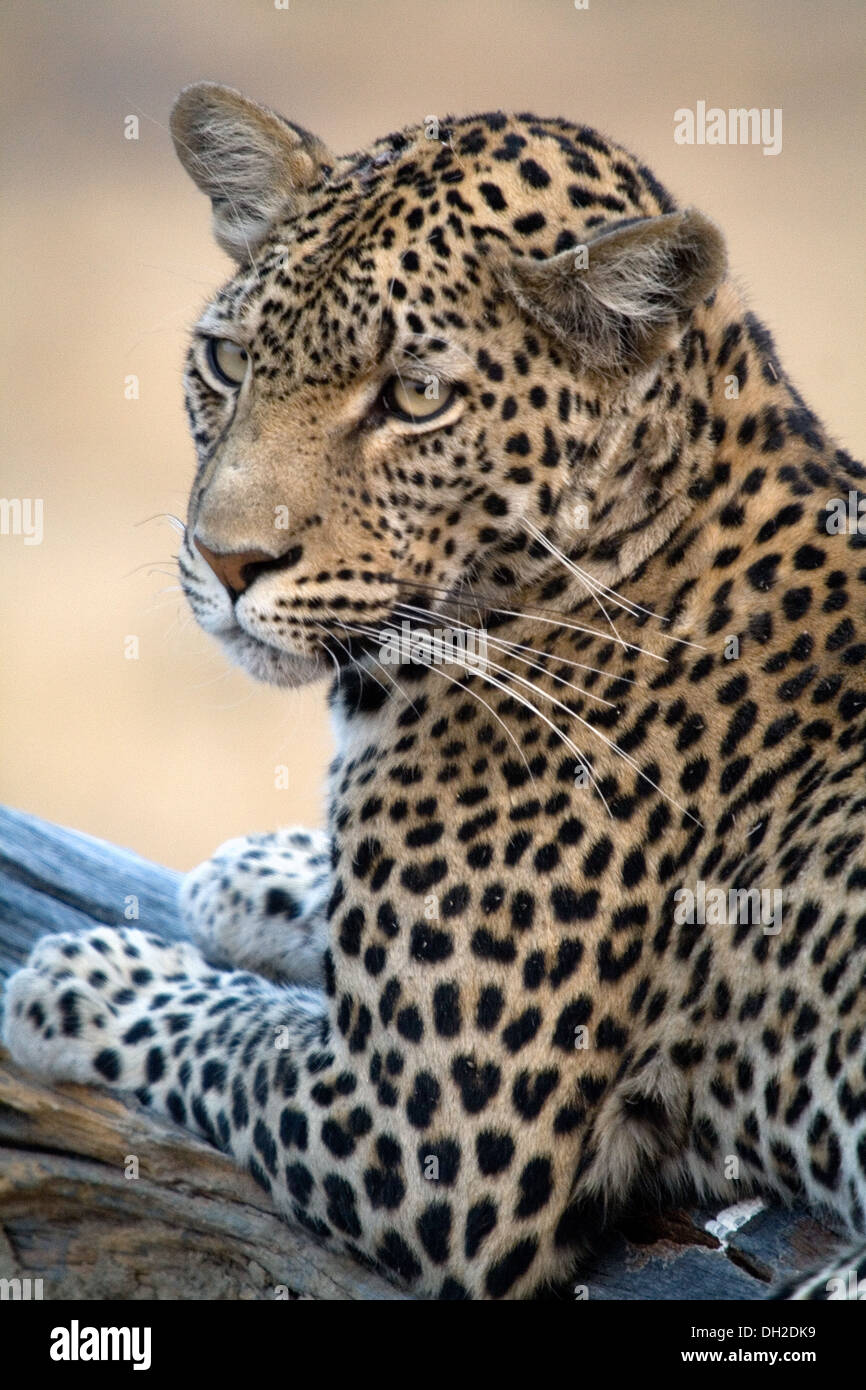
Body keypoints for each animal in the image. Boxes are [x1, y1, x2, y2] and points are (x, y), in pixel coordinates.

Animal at [4, 83, 865, 1301]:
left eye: (414, 398)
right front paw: (258, 872)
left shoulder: (426, 1139)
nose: (224, 559)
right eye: (225, 360)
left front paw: (90, 974)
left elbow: (229, 1029)